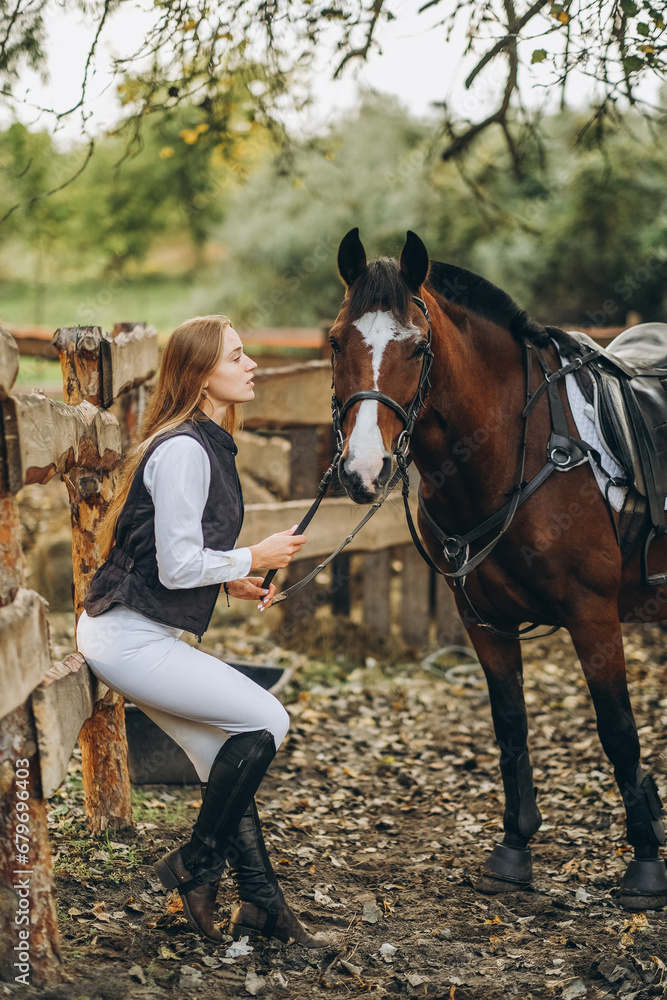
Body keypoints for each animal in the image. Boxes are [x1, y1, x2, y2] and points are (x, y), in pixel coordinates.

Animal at [329, 227, 667, 911]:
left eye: (419, 347)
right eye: (334, 341)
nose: (363, 470)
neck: (522, 448)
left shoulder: (594, 617)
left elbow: (618, 729)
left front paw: (646, 866)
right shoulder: (482, 621)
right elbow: (510, 726)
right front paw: (514, 849)